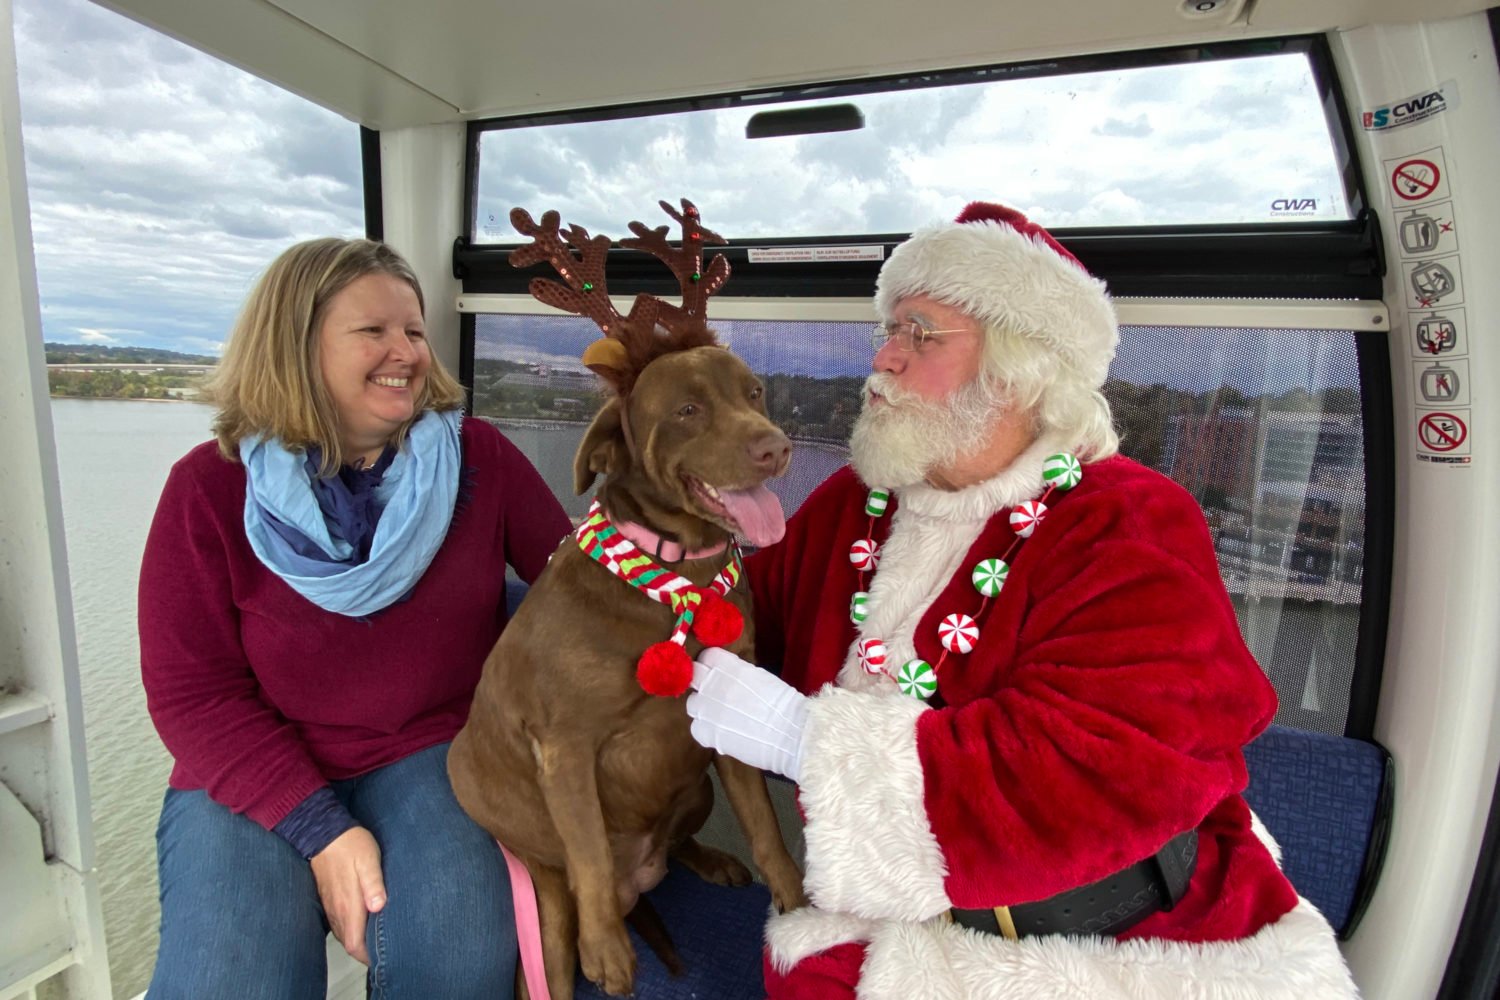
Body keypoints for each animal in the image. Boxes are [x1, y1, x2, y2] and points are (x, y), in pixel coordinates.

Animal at [447, 199, 810, 995]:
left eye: (754, 393)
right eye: (687, 410)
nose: (776, 448)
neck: (675, 583)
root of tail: (636, 885)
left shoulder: (727, 725)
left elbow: (769, 832)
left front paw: (797, 909)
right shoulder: (565, 750)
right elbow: (586, 847)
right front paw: (610, 954)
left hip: (694, 787)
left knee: (676, 846)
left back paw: (710, 859)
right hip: (543, 889)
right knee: (560, 937)